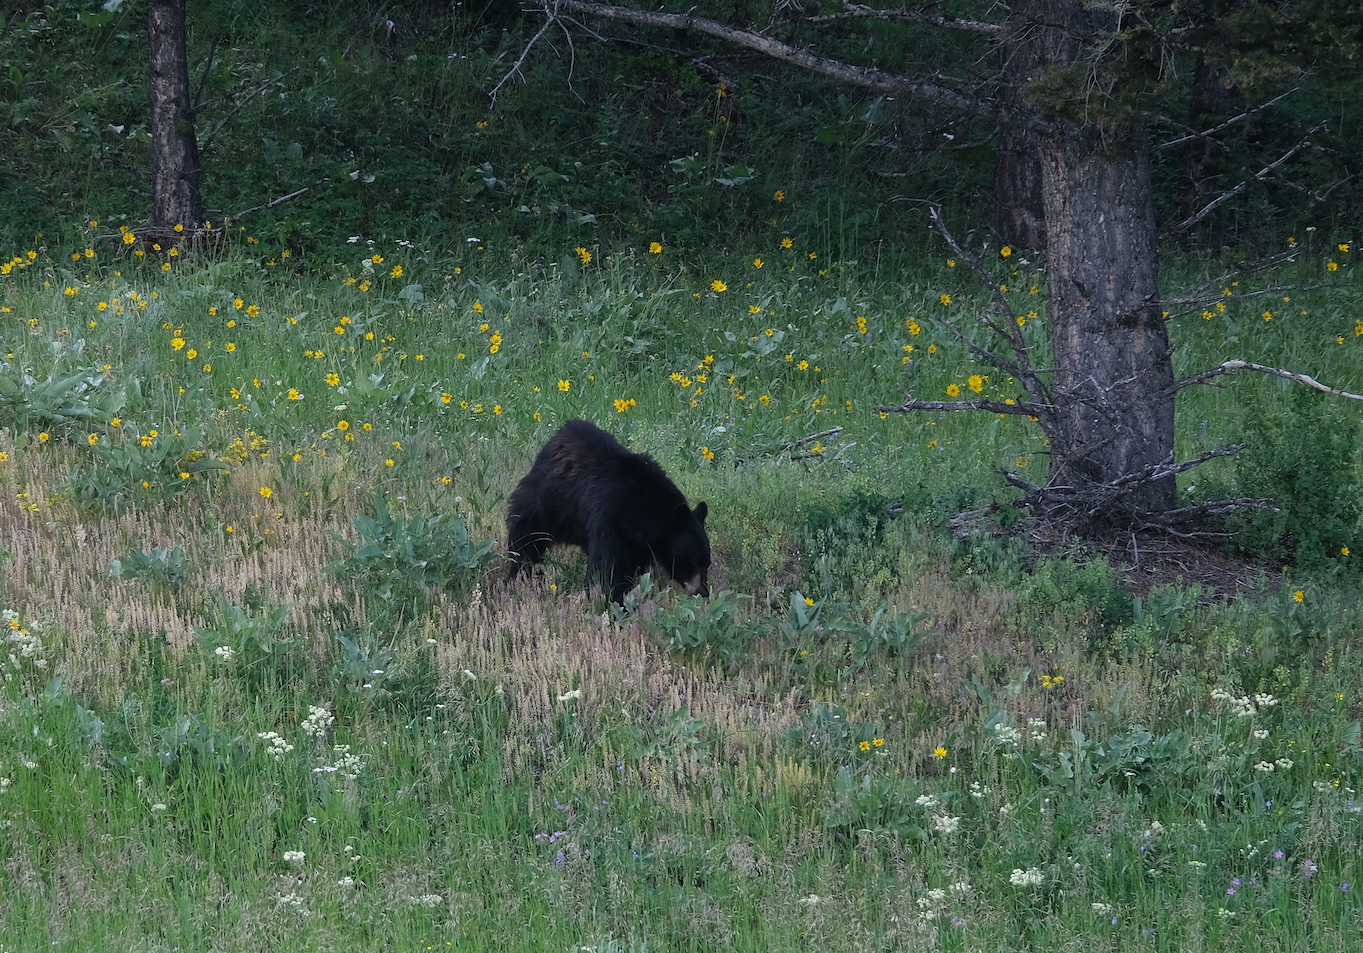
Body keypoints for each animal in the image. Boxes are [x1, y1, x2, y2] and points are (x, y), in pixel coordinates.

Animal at [506, 419, 711, 604]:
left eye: (706, 563)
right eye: (694, 562)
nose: (703, 592)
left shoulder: (638, 541)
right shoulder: (609, 517)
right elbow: (610, 565)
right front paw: (616, 600)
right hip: (543, 504)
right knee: (526, 541)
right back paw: (517, 577)